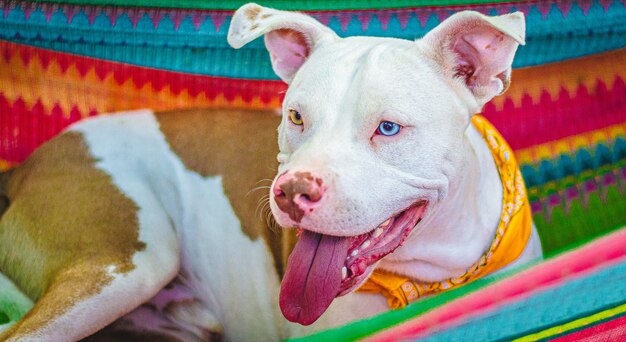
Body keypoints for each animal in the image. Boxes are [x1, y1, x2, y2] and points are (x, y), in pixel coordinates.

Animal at [0, 3, 536, 342]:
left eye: (388, 128)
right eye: (296, 116)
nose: (292, 191)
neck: (433, 277)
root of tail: (26, 167)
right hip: (122, 264)